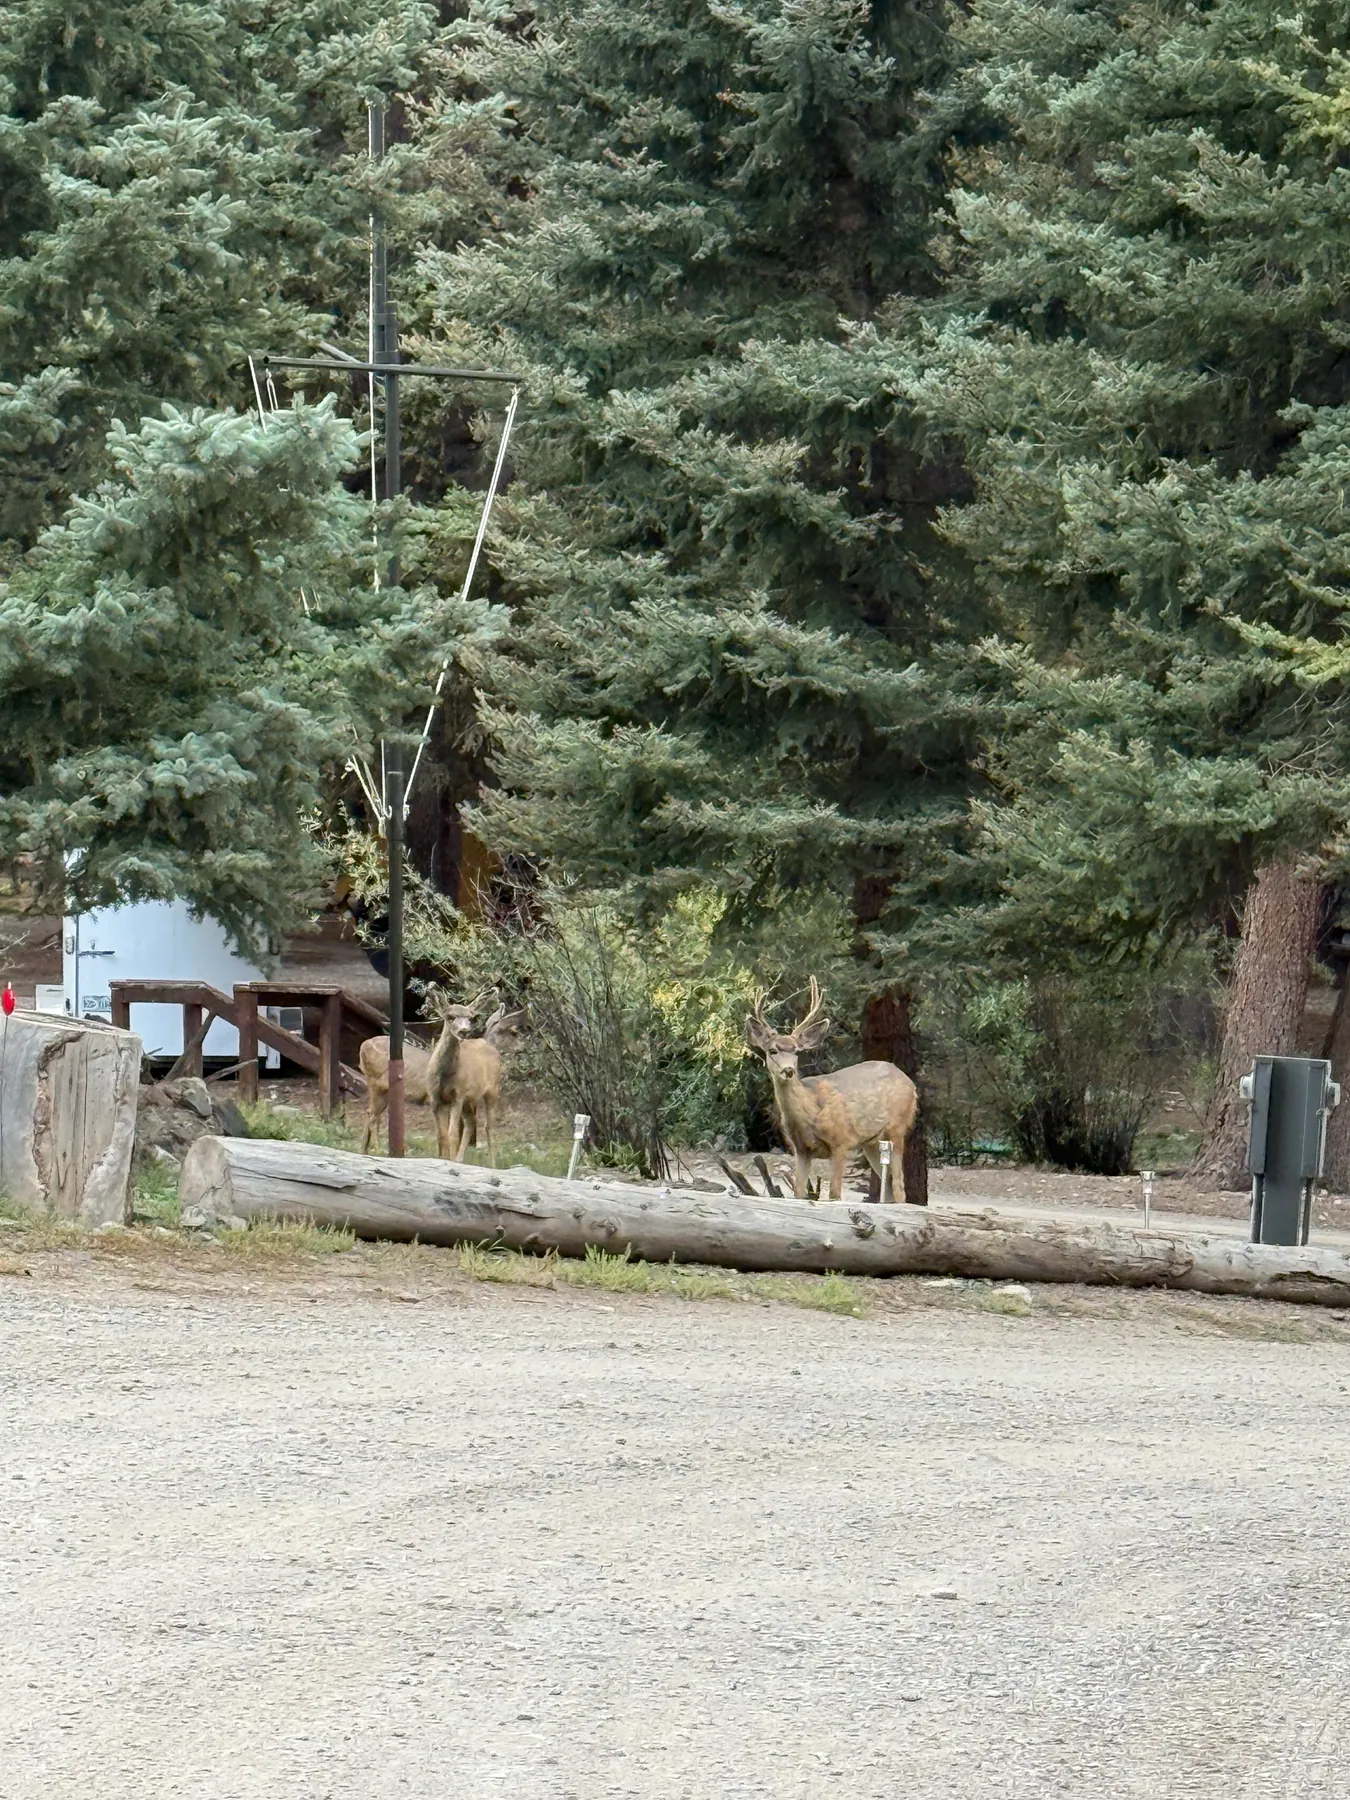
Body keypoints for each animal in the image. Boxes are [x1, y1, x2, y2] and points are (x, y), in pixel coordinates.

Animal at [358, 990, 485, 1155]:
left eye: (470, 1017)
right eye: (450, 1017)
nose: (464, 1031)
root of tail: (362, 1046)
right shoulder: (435, 1099)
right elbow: (444, 1135)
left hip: (383, 1089)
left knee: (371, 1113)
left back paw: (364, 1150)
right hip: (375, 1083)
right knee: (374, 1116)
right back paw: (379, 1151)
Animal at [441, 1000, 526, 1165]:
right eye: (514, 1032)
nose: (523, 1048)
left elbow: (469, 1125)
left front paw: (459, 1159)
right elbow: (485, 1127)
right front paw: (492, 1163)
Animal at [745, 978, 918, 1203]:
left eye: (797, 1052)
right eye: (772, 1050)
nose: (789, 1070)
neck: (811, 1111)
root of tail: (911, 1084)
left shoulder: (841, 1141)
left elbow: (834, 1194)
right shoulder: (801, 1149)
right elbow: (798, 1193)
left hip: (897, 1128)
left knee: (899, 1187)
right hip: (871, 1143)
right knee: (888, 1188)